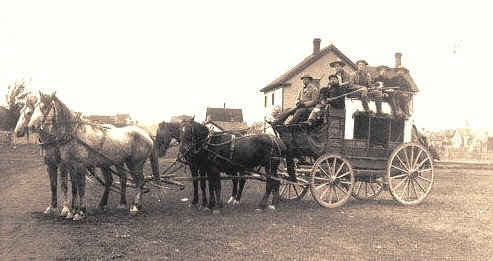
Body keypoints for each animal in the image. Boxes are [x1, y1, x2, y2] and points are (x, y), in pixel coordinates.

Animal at [27, 90, 160, 218]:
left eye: (45, 106)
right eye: (36, 106)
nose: (31, 126)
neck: (75, 133)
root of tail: (147, 134)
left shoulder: (78, 165)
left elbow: (80, 187)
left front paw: (80, 212)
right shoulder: (68, 165)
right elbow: (70, 187)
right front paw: (71, 211)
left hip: (135, 163)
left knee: (140, 181)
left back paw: (135, 206)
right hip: (116, 163)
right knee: (121, 179)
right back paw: (118, 204)